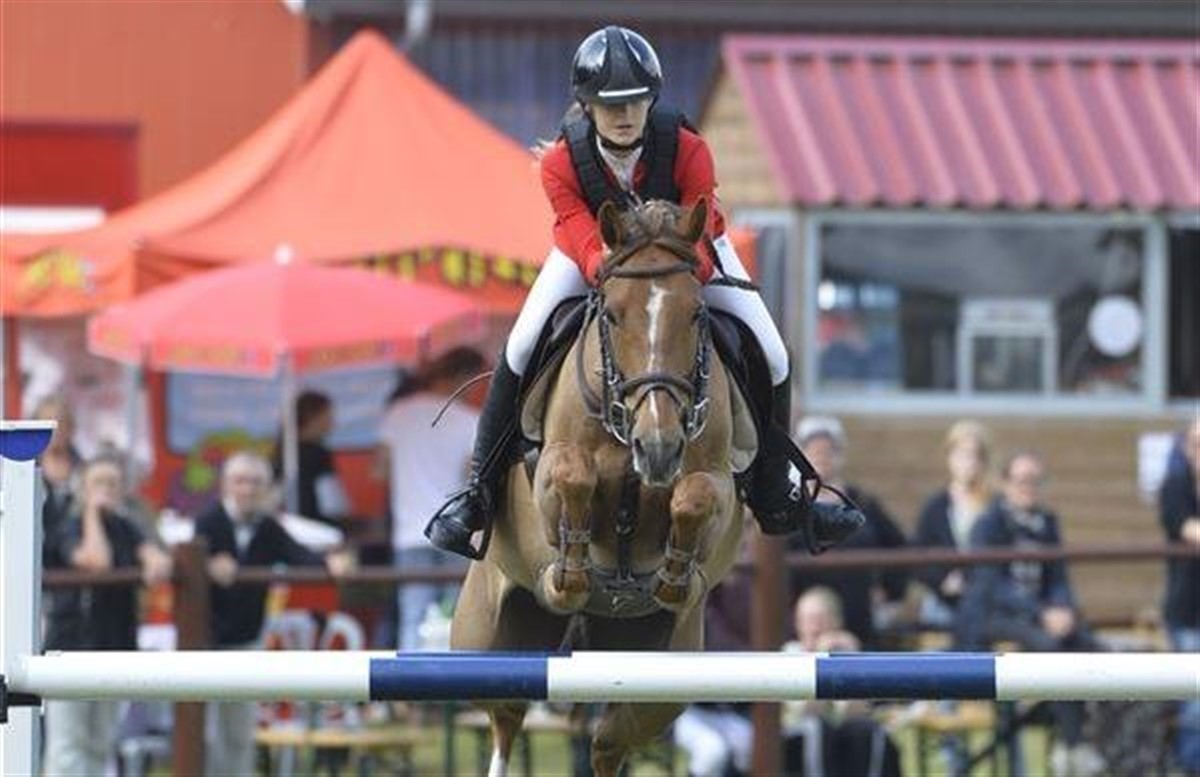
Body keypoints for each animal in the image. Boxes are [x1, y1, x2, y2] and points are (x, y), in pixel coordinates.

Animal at [451, 198, 757, 776]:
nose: (657, 447)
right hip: (482, 641)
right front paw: (567, 576)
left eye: (696, 314)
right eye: (612, 315)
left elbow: (695, 496)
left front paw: (672, 578)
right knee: (505, 715)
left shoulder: (718, 484)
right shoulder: (551, 468)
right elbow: (574, 474)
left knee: (607, 741)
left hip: (661, 679)